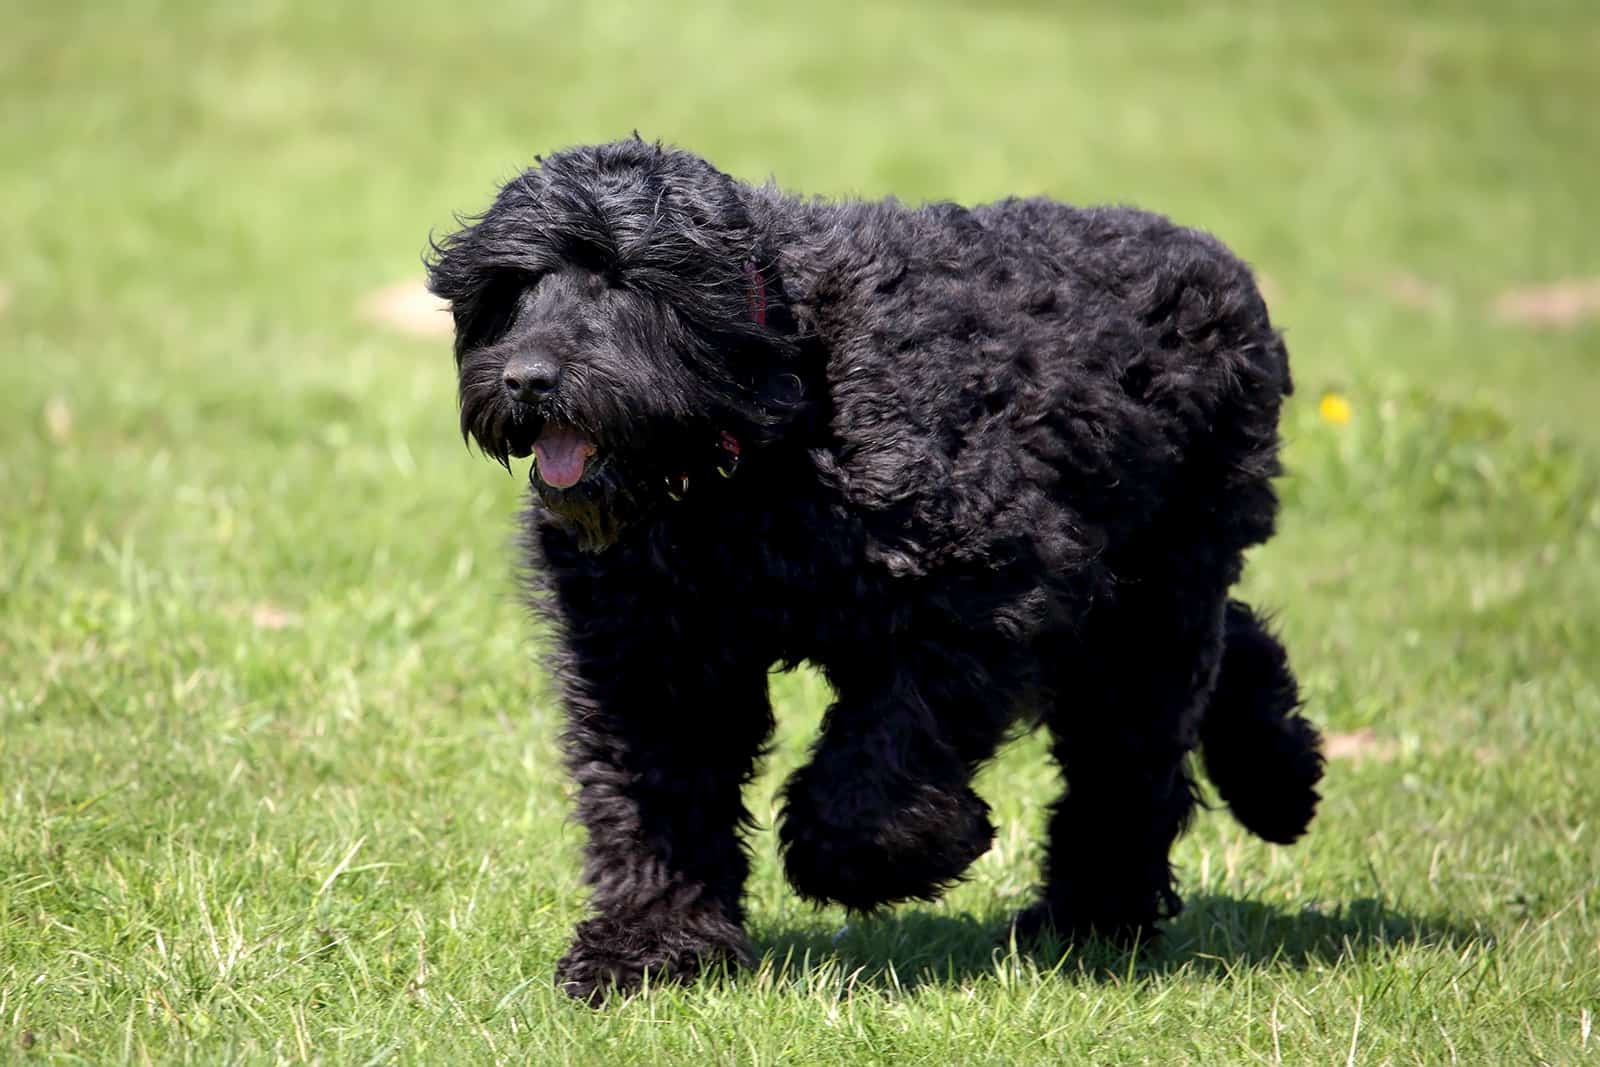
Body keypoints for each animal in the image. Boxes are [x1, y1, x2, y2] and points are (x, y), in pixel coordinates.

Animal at [428, 139, 1324, 1004]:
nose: (527, 378)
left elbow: (886, 754)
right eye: (511, 285)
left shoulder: (980, 595)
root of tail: (1217, 266)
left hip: (1150, 606)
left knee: (1132, 762)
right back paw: (1275, 779)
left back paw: (1099, 912)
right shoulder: (653, 658)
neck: (775, 409)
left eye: (623, 278)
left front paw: (867, 855)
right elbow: (656, 806)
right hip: (1141, 596)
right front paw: (650, 948)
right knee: (1225, 651)